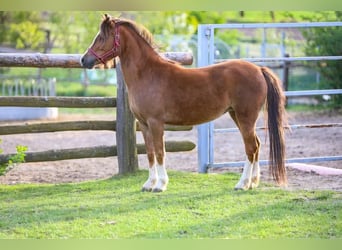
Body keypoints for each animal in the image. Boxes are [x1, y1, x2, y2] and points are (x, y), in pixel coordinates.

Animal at [80, 14, 286, 192]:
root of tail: (258, 69)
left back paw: (242, 184)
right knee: (256, 145)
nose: (84, 60)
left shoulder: (156, 123)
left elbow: (160, 152)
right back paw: (253, 183)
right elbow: (150, 153)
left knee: (251, 147)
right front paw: (149, 184)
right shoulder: (144, 125)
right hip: (236, 115)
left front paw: (160, 185)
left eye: (101, 37)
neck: (147, 74)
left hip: (245, 117)